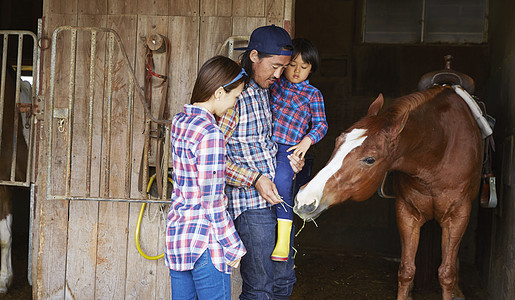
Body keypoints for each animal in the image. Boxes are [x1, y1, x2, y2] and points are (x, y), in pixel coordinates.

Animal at [294, 85, 484, 300]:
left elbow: (446, 273)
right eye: (337, 141)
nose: (305, 199)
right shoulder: (407, 213)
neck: (439, 147)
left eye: (370, 159)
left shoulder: (458, 216)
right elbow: (406, 270)